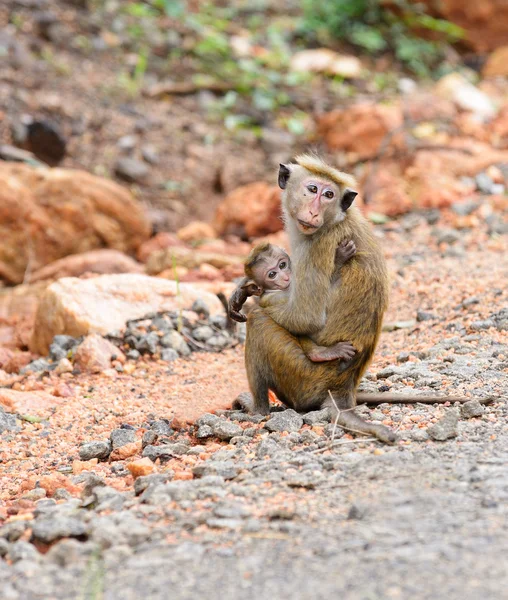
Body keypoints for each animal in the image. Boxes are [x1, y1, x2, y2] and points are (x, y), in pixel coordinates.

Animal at [230, 241, 358, 364]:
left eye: (282, 265)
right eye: (272, 274)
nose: (286, 277)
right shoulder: (276, 297)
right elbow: (305, 315)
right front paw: (339, 258)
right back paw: (319, 353)